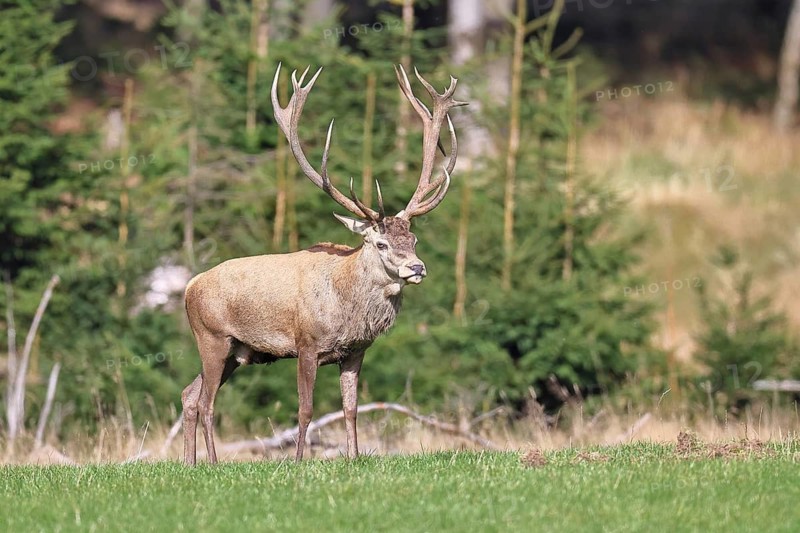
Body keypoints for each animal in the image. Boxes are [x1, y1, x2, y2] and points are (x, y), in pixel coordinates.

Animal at [181, 63, 466, 465]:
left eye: (413, 240)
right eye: (380, 243)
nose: (417, 268)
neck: (345, 306)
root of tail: (189, 287)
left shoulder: (355, 351)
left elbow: (351, 408)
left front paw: (354, 456)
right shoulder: (307, 343)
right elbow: (306, 409)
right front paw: (299, 460)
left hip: (238, 352)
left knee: (189, 394)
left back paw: (190, 462)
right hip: (212, 336)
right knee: (206, 402)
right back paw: (214, 462)